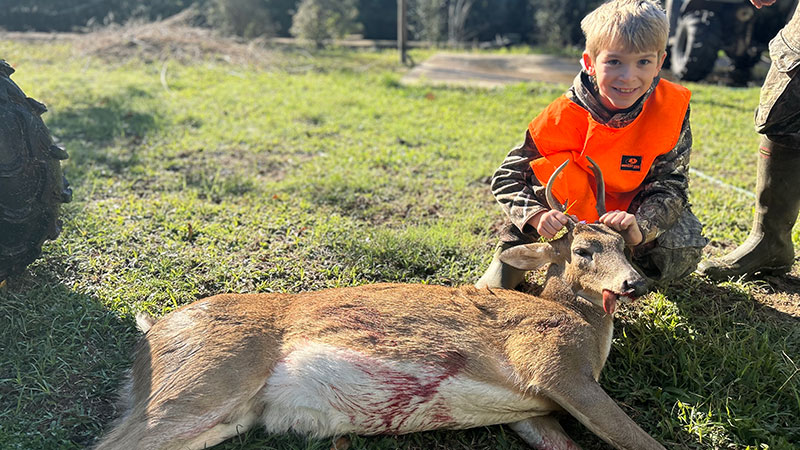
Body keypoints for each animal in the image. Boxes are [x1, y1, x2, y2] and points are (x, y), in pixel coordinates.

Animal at [94, 158, 665, 450]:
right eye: (584, 250)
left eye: (628, 245)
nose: (636, 283)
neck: (577, 322)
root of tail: (152, 331)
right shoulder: (553, 366)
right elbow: (643, 441)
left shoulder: (534, 411)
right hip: (201, 383)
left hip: (219, 418)